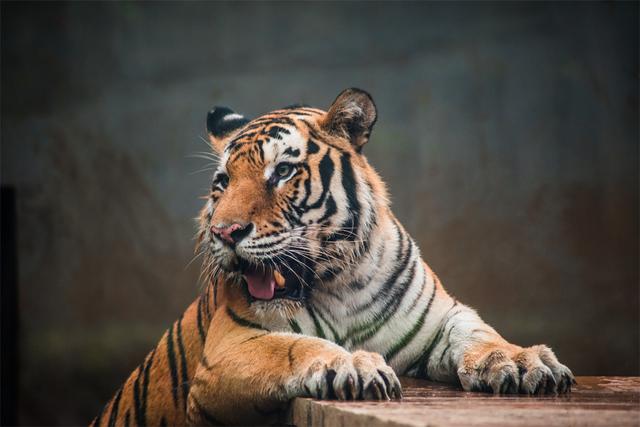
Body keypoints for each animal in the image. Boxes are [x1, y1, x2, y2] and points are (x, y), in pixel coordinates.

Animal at [92, 88, 576, 426]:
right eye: (222, 182)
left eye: (282, 172)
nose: (224, 233)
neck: (343, 284)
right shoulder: (230, 346)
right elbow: (294, 346)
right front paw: (353, 363)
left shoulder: (442, 317)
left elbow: (480, 334)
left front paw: (521, 361)